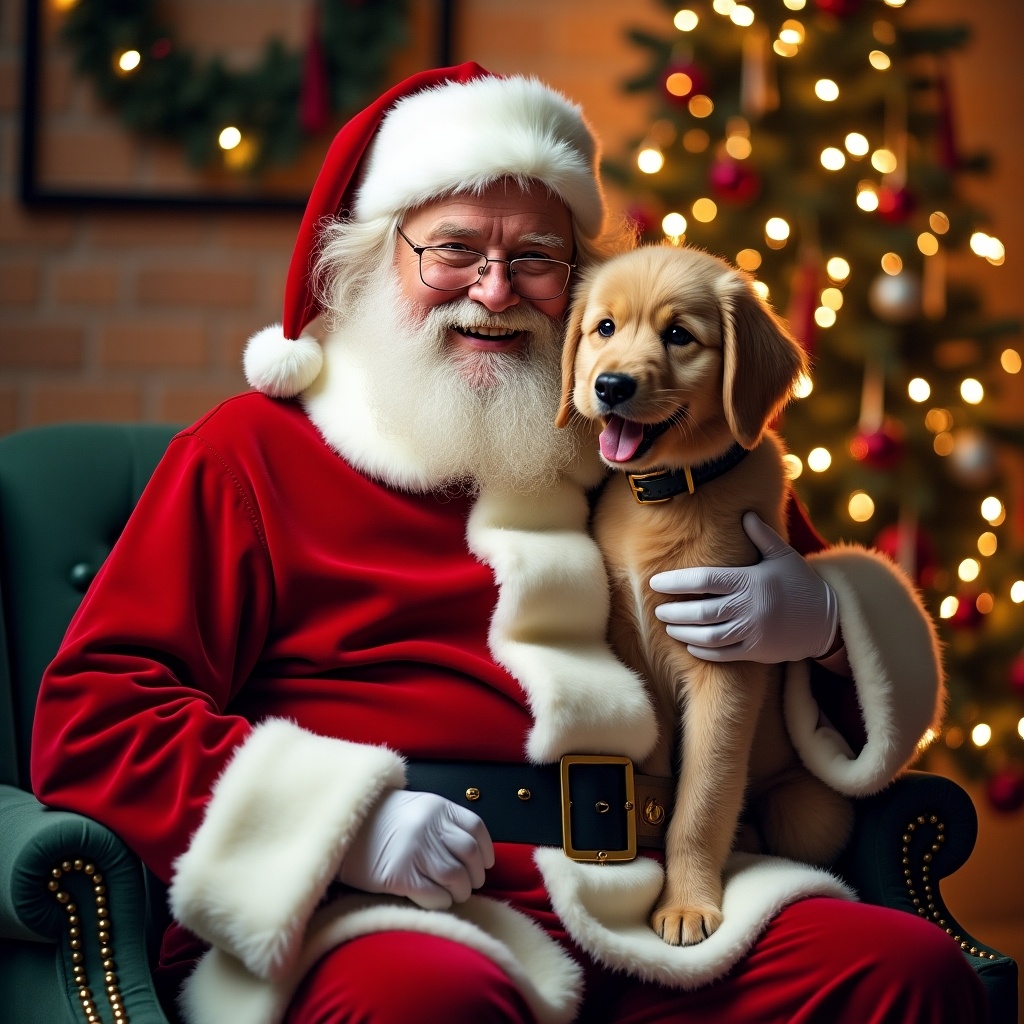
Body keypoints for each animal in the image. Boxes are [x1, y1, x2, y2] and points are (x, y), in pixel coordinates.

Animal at [557, 243, 851, 946]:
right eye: (604, 328)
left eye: (679, 336)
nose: (610, 386)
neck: (670, 493)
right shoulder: (636, 658)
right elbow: (660, 788)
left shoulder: (726, 671)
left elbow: (701, 798)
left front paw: (686, 902)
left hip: (810, 808)